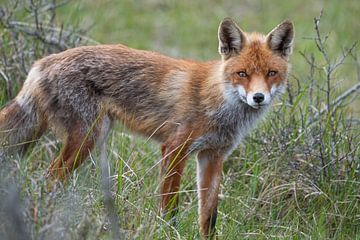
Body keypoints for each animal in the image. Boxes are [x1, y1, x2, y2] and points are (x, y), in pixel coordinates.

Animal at [0, 17, 292, 237]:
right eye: (242, 74)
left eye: (271, 73)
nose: (258, 97)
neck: (220, 102)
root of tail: (42, 62)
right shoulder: (174, 148)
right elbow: (170, 206)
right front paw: (169, 233)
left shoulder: (213, 156)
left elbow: (209, 216)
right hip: (88, 138)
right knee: (48, 180)